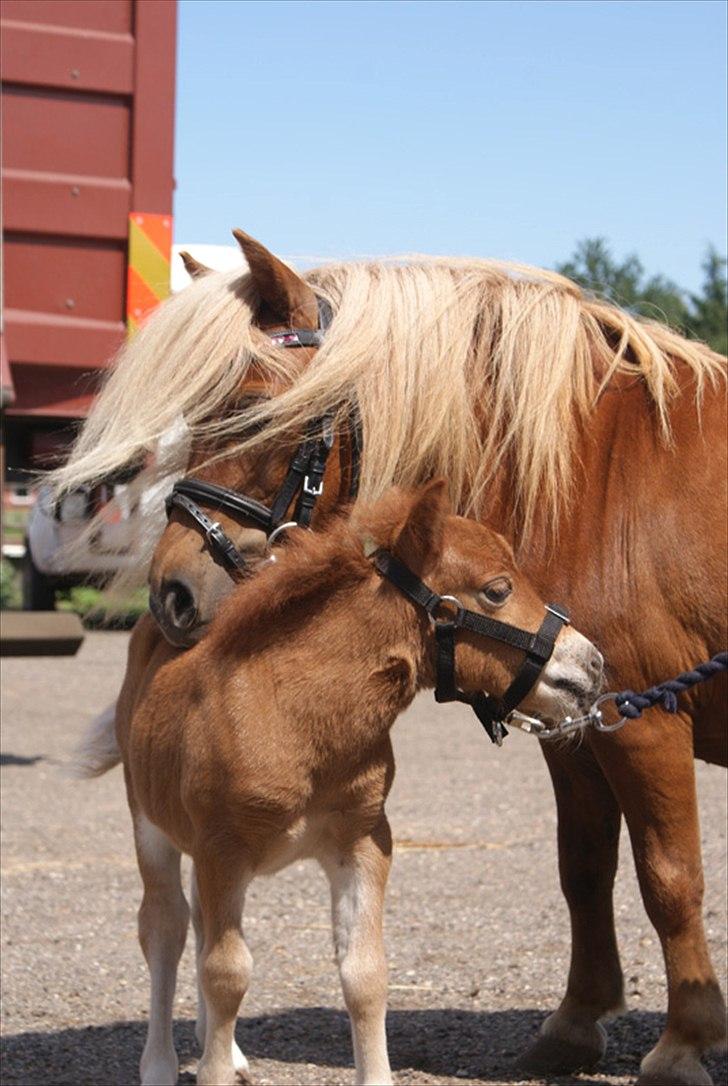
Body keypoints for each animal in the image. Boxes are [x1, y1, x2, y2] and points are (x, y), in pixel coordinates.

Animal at [109, 486, 599, 1086]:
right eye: (498, 590)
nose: (591, 665)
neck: (294, 718)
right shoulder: (222, 848)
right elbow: (226, 973)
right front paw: (212, 1071)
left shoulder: (362, 841)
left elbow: (365, 973)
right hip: (151, 827)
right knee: (166, 928)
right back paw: (160, 1063)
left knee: (199, 924)